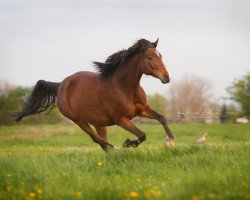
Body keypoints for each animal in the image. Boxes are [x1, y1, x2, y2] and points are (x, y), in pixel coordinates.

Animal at [15, 38, 175, 152]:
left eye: (160, 56)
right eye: (149, 57)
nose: (167, 77)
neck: (124, 88)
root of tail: (60, 85)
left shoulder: (143, 110)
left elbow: (162, 118)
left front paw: (170, 141)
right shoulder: (121, 119)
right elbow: (142, 135)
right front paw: (129, 143)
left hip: (98, 122)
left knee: (101, 140)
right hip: (79, 121)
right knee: (96, 138)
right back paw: (115, 147)